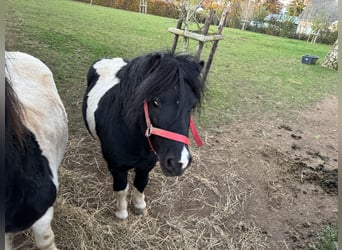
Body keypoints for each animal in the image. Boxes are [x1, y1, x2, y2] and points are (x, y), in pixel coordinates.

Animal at [82, 50, 206, 219]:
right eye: (155, 102)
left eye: (192, 105)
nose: (179, 163)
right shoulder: (118, 168)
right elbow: (122, 189)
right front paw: (122, 213)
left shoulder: (147, 165)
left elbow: (140, 184)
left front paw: (140, 206)